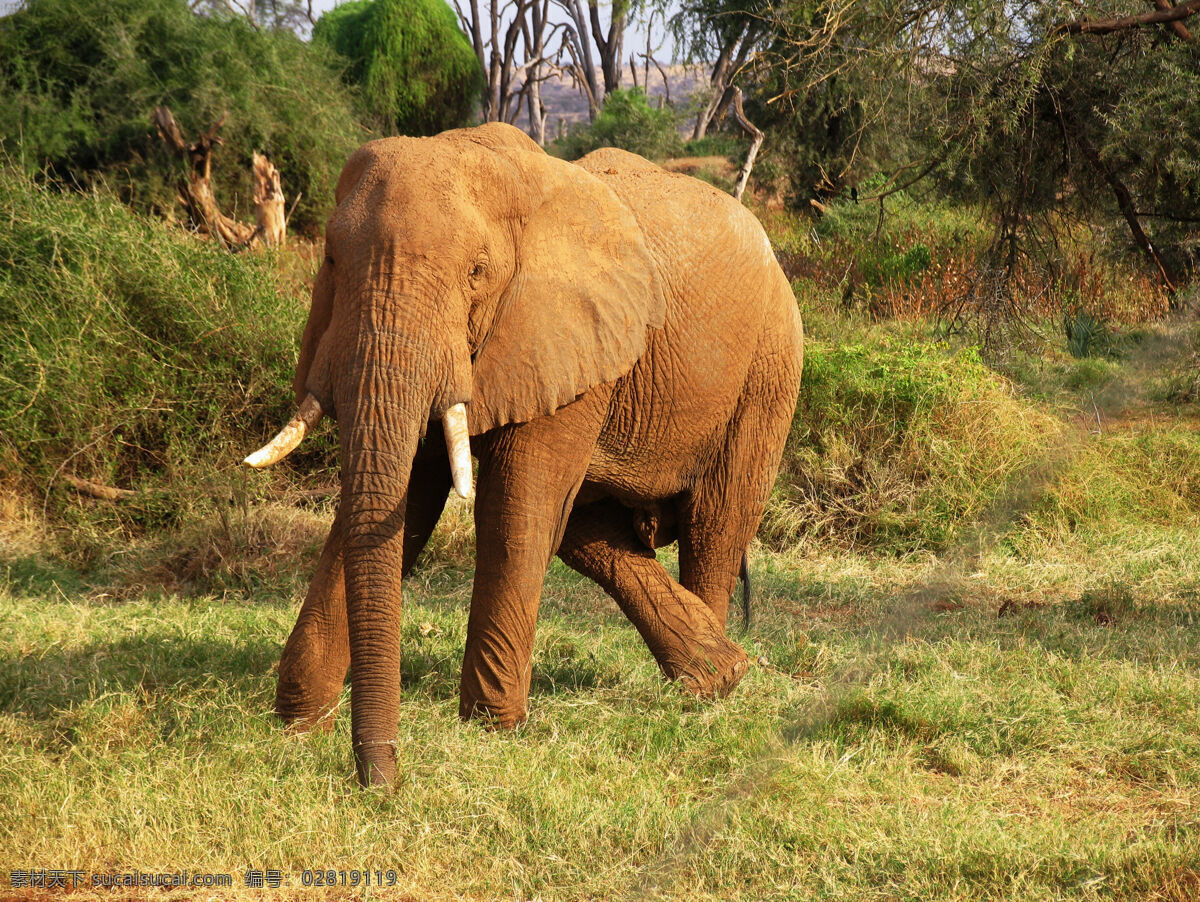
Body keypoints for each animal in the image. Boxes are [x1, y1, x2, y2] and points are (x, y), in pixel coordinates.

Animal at [247, 123, 801, 786]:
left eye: (477, 272)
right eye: (330, 260)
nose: (383, 782)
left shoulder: (562, 334)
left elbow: (514, 512)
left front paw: (492, 727)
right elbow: (403, 501)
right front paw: (298, 721)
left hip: (768, 366)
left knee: (715, 523)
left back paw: (713, 688)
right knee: (590, 528)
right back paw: (717, 669)